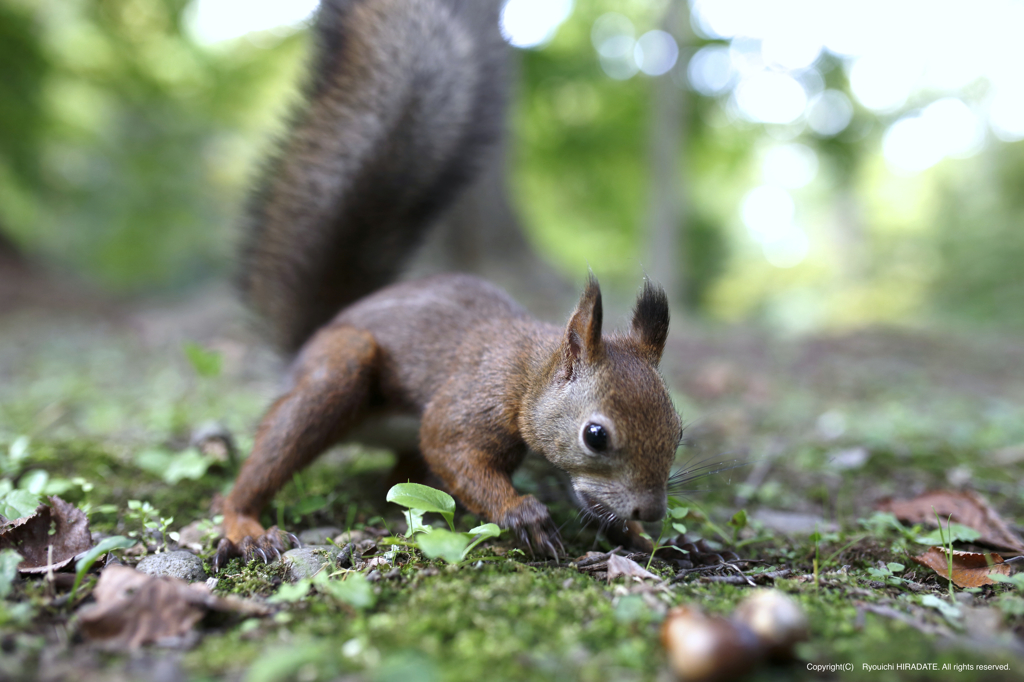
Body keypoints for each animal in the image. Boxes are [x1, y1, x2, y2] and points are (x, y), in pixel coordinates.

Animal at [211, 0, 684, 565]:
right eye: (596, 436)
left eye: (679, 430)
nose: (651, 511)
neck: (528, 372)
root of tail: (314, 336)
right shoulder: (471, 401)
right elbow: (449, 446)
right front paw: (522, 514)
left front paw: (643, 537)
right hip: (337, 369)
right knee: (269, 459)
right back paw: (246, 525)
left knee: (398, 478)